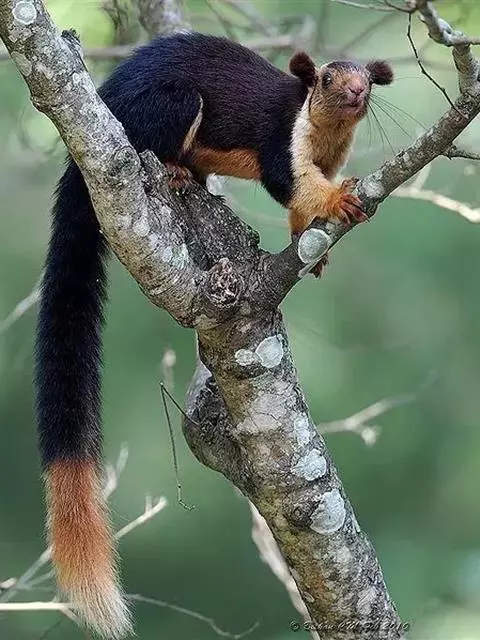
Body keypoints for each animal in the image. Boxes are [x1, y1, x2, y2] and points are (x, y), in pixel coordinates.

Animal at [35, 31, 393, 638]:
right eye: (326, 78)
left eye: (366, 82)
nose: (353, 94)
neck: (322, 133)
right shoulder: (282, 142)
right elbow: (291, 184)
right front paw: (339, 199)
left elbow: (300, 211)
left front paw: (311, 241)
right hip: (171, 107)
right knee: (157, 140)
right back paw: (175, 172)